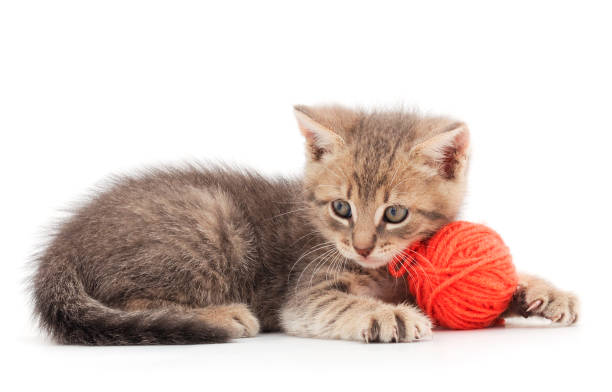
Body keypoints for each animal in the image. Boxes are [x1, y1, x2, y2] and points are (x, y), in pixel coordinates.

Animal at [29, 105, 580, 344]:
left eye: (394, 214)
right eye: (341, 208)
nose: (361, 247)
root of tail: (62, 246)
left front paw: (541, 291)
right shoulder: (306, 290)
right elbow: (337, 304)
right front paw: (389, 316)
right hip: (210, 223)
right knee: (131, 300)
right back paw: (220, 316)